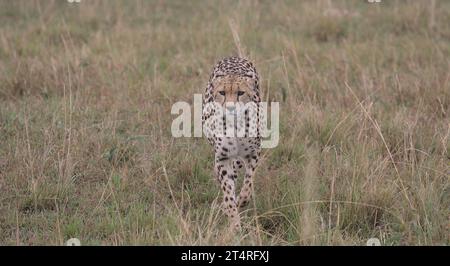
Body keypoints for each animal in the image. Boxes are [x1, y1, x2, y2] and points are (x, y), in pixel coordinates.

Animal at [202, 55, 262, 229]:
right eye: (222, 92)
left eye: (240, 93)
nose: (230, 108)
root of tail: (233, 57)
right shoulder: (222, 157)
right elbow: (228, 192)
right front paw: (234, 223)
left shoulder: (253, 154)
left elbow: (248, 182)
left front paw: (242, 200)